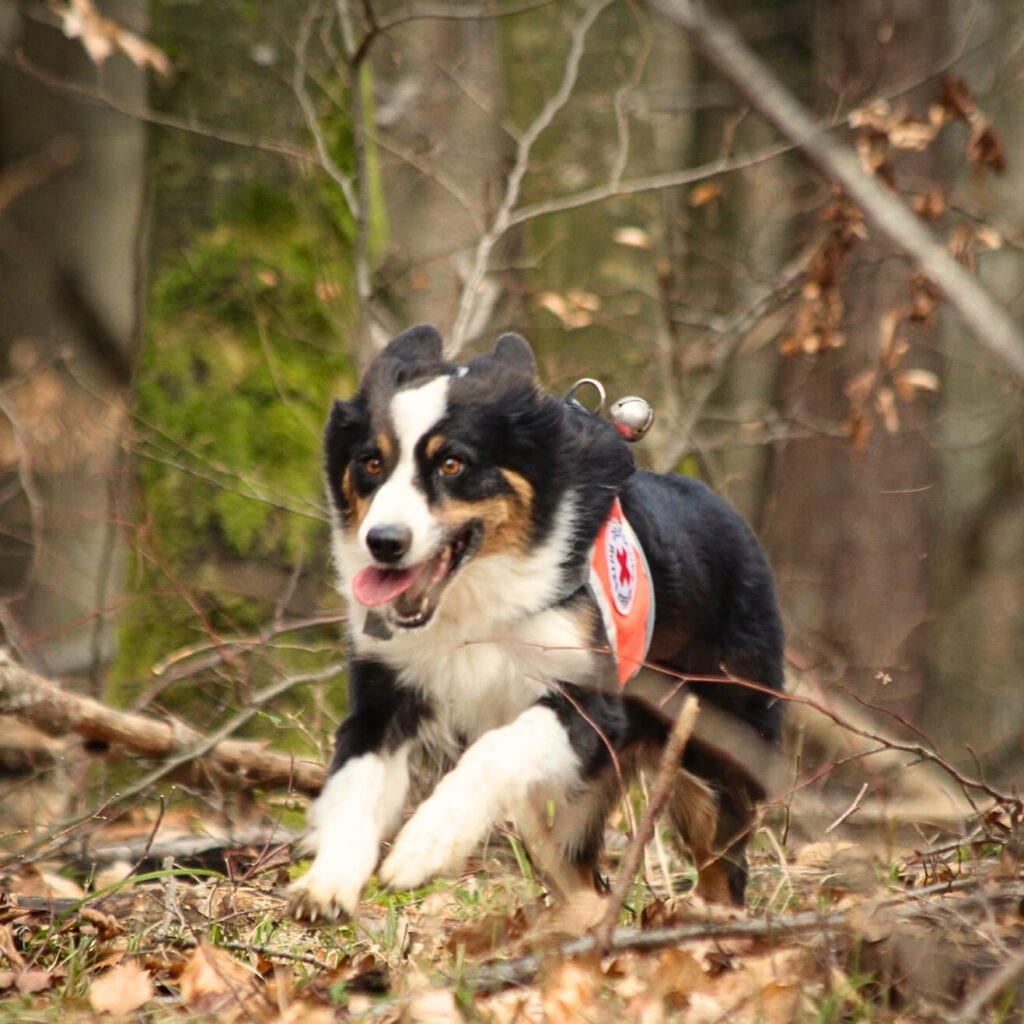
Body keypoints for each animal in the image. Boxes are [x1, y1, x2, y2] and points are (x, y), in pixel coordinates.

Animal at [288, 325, 782, 921]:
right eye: (371, 464)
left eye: (452, 464)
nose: (383, 543)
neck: (473, 597)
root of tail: (734, 521)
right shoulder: (385, 692)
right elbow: (356, 783)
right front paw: (327, 883)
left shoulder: (589, 702)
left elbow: (495, 748)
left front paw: (423, 848)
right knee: (579, 874)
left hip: (716, 744)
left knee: (722, 865)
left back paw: (712, 925)